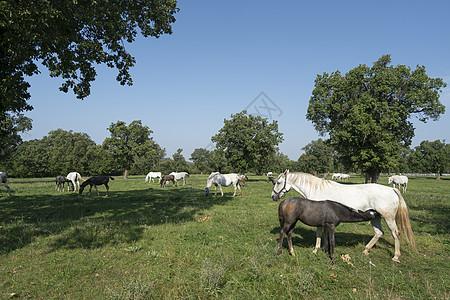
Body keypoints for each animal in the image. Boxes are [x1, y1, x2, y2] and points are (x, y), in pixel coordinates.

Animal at [270, 170, 414, 262]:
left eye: (278, 183)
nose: (273, 197)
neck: (317, 189)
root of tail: (392, 189)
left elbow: (319, 233)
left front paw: (316, 250)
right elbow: (325, 234)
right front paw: (325, 248)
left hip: (388, 218)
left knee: (395, 233)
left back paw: (396, 256)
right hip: (376, 217)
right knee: (378, 233)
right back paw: (366, 250)